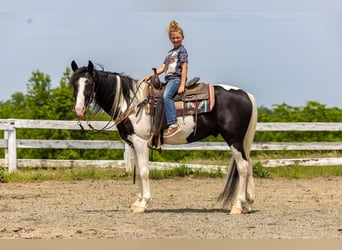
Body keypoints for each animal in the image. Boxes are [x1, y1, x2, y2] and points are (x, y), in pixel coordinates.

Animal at [69, 59, 256, 214]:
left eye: (89, 83)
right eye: (74, 84)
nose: (79, 110)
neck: (131, 102)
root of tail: (246, 94)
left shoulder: (140, 142)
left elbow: (144, 172)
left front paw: (143, 203)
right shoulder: (133, 143)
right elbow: (138, 169)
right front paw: (137, 202)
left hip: (234, 140)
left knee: (243, 167)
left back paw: (237, 206)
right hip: (241, 142)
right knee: (249, 164)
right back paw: (247, 204)